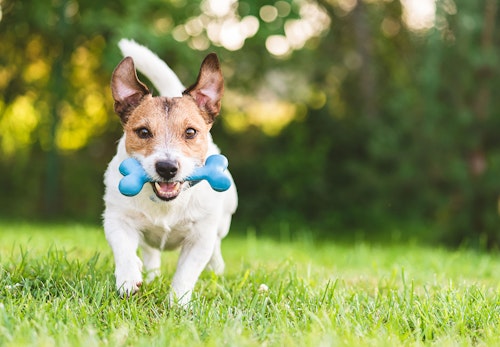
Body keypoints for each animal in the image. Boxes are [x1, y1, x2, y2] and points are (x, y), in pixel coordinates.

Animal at [102, 40, 237, 306]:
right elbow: (123, 248)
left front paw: (179, 302)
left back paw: (217, 270)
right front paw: (128, 278)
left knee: (217, 246)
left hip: (223, 221)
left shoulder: (200, 237)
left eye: (190, 132)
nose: (166, 168)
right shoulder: (116, 218)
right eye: (143, 132)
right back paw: (149, 273)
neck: (166, 204)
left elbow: (186, 272)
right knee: (150, 251)